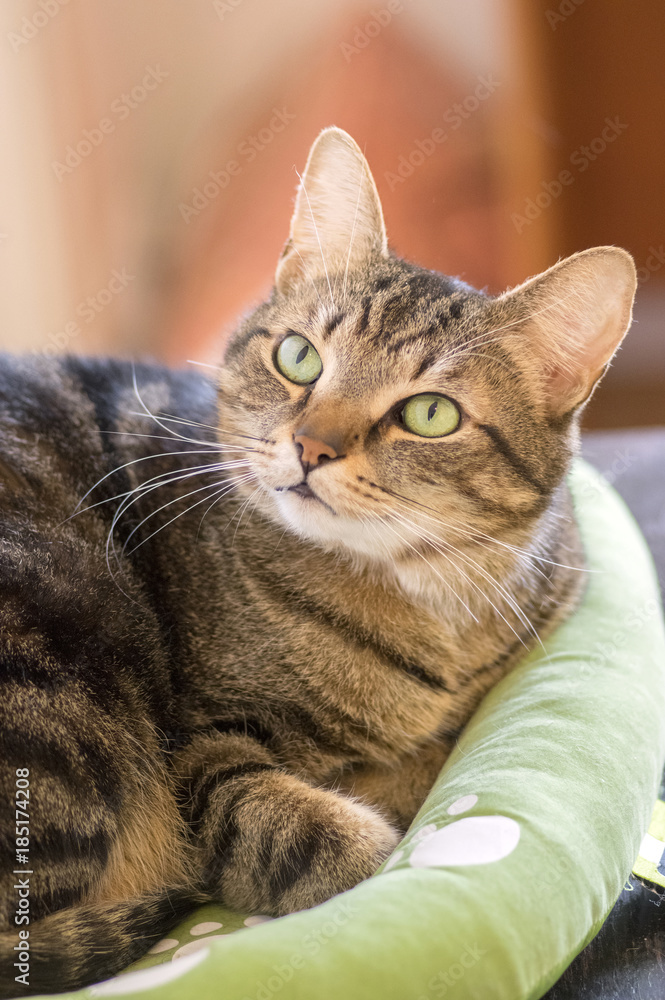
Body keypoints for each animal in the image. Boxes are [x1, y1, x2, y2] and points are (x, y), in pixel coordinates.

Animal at [0, 129, 632, 996]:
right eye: (299, 357)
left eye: (428, 413)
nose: (310, 446)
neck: (420, 599)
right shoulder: (202, 741)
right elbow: (311, 839)